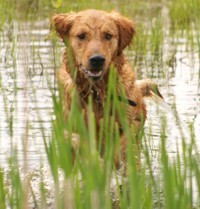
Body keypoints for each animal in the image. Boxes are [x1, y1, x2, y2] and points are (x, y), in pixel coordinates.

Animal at [50, 9, 163, 168]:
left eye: (108, 35)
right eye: (81, 35)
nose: (97, 60)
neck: (97, 92)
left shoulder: (133, 123)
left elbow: (121, 144)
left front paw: (109, 161)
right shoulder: (71, 127)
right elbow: (76, 141)